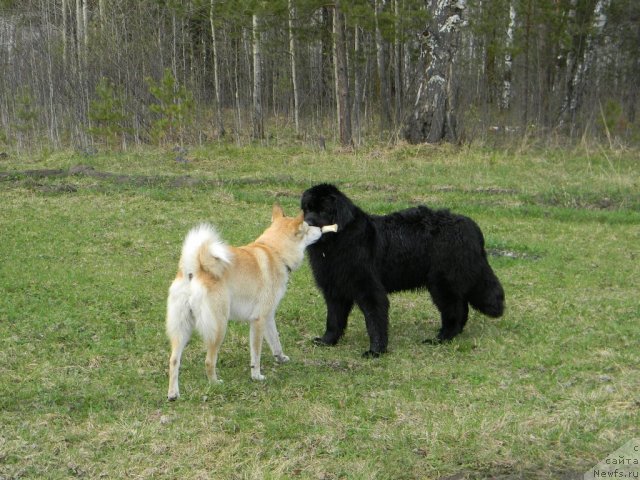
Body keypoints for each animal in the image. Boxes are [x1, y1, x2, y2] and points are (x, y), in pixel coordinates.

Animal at [168, 204, 322, 400]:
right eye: (308, 228)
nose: (321, 229)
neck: (274, 251)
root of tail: (194, 269)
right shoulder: (258, 320)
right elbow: (256, 354)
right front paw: (256, 376)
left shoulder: (268, 316)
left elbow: (275, 341)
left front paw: (280, 358)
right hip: (219, 328)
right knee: (209, 361)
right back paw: (215, 383)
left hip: (182, 329)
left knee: (174, 360)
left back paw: (173, 393)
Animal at [300, 184, 504, 356]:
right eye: (307, 209)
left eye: (323, 210)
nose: (306, 223)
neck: (337, 241)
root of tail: (471, 226)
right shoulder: (334, 290)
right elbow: (334, 320)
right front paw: (327, 341)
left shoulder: (369, 288)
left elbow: (374, 320)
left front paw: (376, 351)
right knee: (461, 306)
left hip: (442, 282)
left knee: (455, 309)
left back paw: (441, 338)